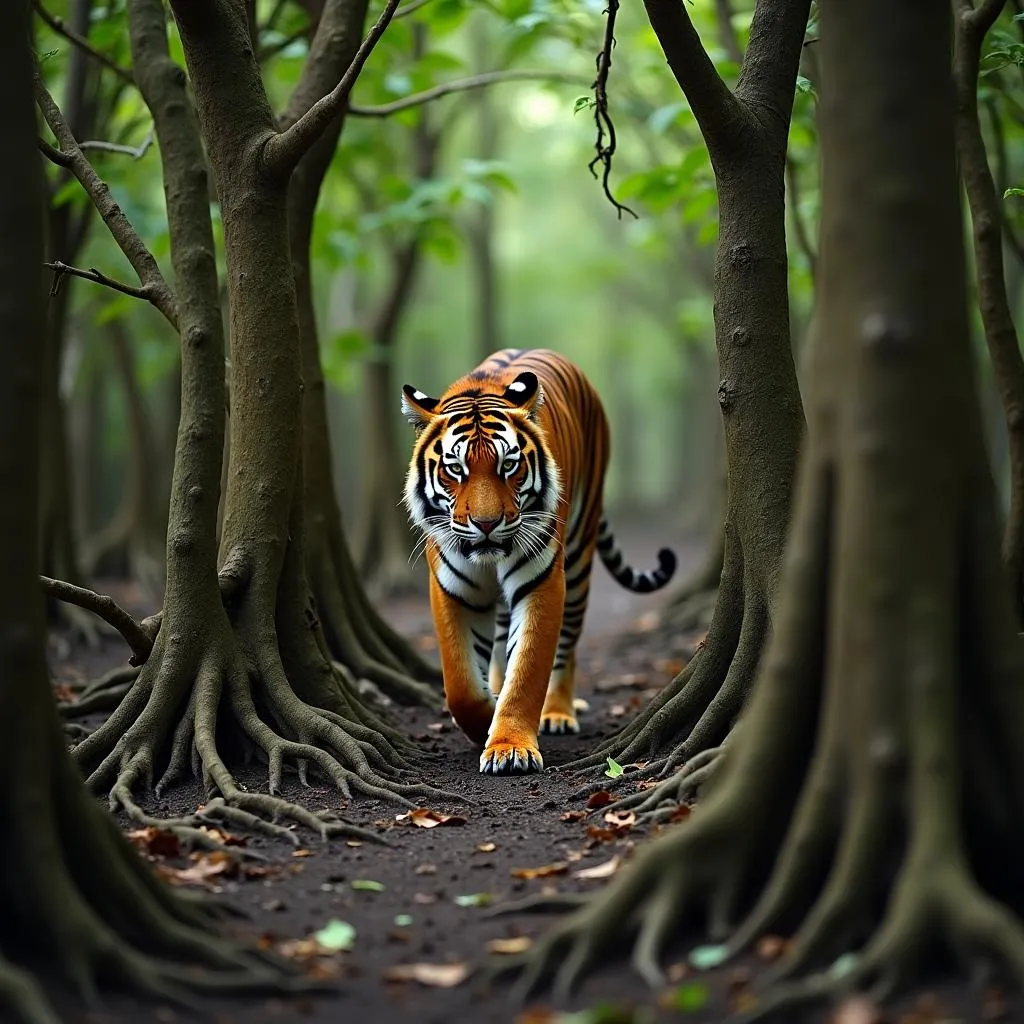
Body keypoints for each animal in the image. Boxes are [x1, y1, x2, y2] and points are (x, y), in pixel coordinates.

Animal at [401, 348, 679, 770]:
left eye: (508, 465)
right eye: (455, 469)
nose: (486, 524)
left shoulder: (542, 582)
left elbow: (528, 671)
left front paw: (509, 745)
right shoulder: (454, 590)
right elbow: (461, 685)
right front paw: (488, 713)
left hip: (578, 562)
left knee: (566, 648)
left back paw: (559, 713)